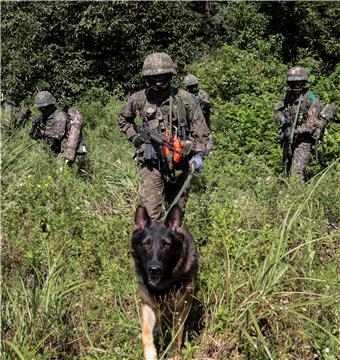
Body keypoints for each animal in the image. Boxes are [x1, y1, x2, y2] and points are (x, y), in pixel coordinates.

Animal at [131, 205, 199, 360]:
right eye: (146, 243)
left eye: (166, 244)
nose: (154, 270)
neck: (163, 284)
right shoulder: (148, 305)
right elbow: (145, 334)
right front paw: (151, 354)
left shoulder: (180, 309)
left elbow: (176, 338)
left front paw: (174, 355)